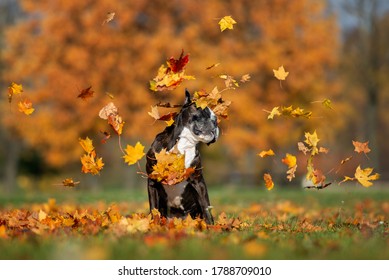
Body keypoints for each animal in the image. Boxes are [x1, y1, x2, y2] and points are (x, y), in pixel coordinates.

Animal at [146, 89, 218, 225]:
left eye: (215, 119)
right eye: (204, 114)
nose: (215, 124)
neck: (184, 144)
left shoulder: (198, 182)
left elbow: (206, 206)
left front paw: (211, 226)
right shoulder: (152, 182)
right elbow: (154, 209)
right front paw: (154, 225)